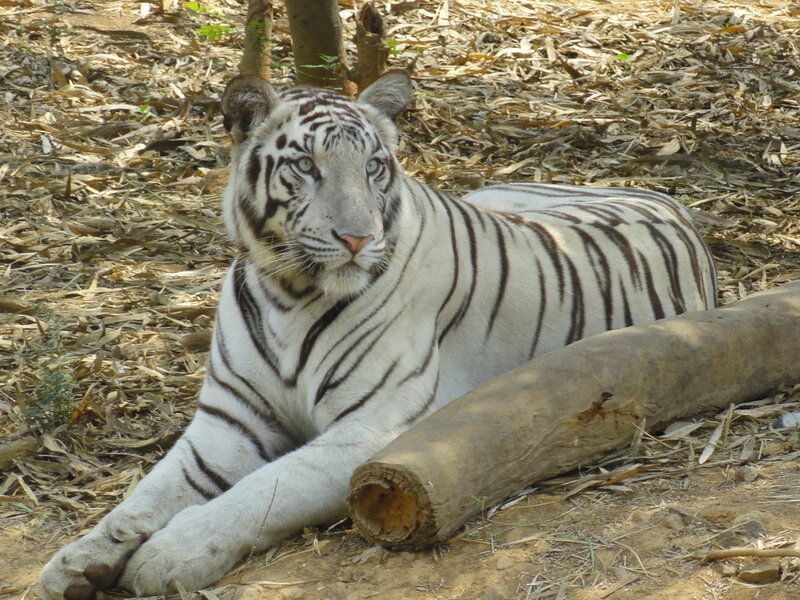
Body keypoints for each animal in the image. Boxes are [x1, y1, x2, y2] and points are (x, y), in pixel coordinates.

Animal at [39, 70, 716, 598]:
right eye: (306, 166)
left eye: (372, 167)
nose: (359, 238)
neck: (288, 293)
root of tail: (653, 192)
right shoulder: (227, 424)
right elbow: (146, 495)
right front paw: (77, 561)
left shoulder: (371, 430)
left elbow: (263, 489)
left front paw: (169, 554)